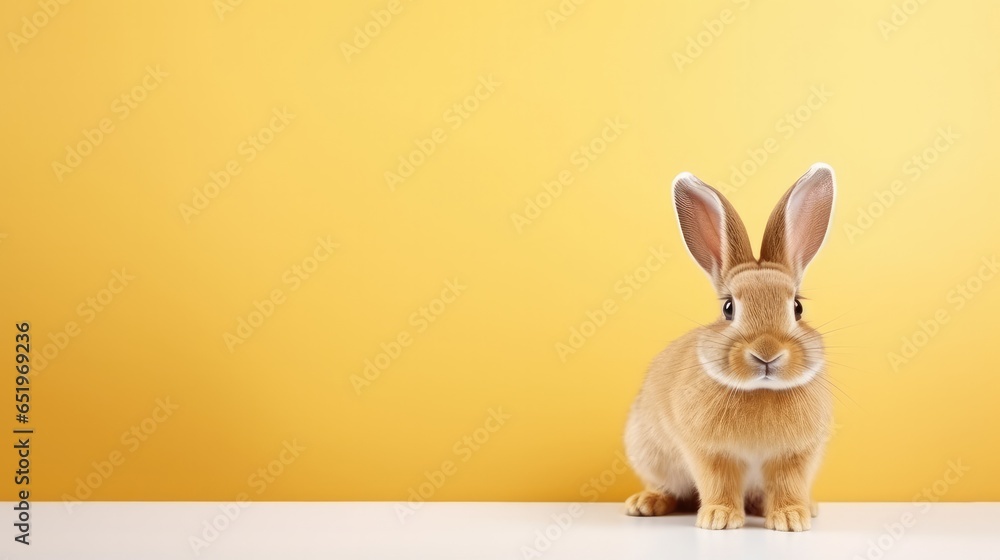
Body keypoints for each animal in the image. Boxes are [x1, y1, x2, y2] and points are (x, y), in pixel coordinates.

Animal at [623, 163, 836, 531]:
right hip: (649, 453)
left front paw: (790, 519)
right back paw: (645, 503)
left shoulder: (794, 456)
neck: (761, 390)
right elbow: (718, 482)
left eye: (797, 307)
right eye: (728, 308)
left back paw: (802, 508)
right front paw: (719, 519)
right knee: (668, 488)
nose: (766, 352)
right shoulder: (709, 452)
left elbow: (788, 484)